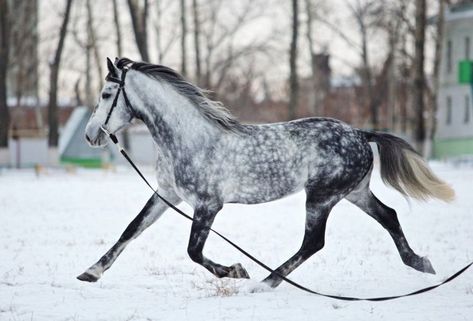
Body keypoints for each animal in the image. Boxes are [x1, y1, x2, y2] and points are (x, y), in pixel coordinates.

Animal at [77, 58, 454, 288]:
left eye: (107, 93)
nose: (90, 135)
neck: (190, 138)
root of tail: (361, 134)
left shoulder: (208, 205)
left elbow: (194, 251)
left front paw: (237, 271)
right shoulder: (167, 194)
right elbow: (132, 229)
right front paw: (90, 272)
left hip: (321, 198)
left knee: (313, 242)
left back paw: (265, 282)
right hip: (354, 193)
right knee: (389, 216)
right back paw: (421, 263)